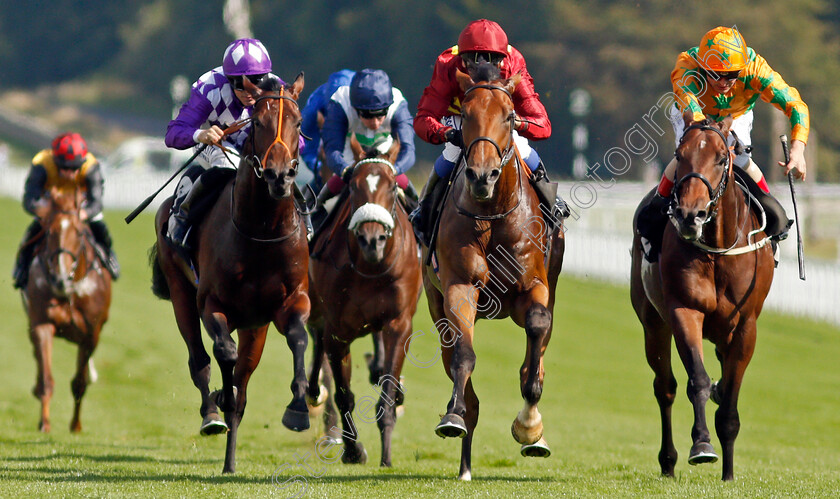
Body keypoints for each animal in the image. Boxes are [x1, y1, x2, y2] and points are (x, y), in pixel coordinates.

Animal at [23, 188, 111, 434]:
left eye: (79, 232)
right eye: (49, 231)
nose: (60, 278)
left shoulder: (91, 334)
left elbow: (79, 383)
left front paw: (76, 425)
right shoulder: (41, 324)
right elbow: (46, 378)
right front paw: (44, 423)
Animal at [149, 75, 310, 476]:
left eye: (299, 122)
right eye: (257, 123)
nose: (279, 175)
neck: (261, 231)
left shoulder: (290, 301)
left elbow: (297, 337)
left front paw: (298, 407)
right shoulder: (212, 303)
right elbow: (224, 352)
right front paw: (221, 399)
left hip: (256, 326)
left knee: (243, 379)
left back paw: (231, 456)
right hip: (180, 293)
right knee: (199, 360)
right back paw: (213, 415)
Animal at [306, 136, 424, 464]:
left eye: (391, 186)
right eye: (353, 187)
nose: (372, 240)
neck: (371, 268)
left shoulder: (399, 322)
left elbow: (386, 390)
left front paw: (387, 453)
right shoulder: (336, 329)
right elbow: (343, 393)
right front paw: (352, 449)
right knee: (316, 343)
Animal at [424, 69, 568, 480]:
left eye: (509, 116)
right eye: (466, 115)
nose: (482, 176)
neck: (492, 213)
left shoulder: (534, 287)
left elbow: (536, 331)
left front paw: (529, 426)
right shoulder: (459, 287)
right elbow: (464, 356)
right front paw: (453, 416)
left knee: (538, 352)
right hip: (435, 303)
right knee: (454, 357)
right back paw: (464, 462)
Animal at [632, 116, 776, 480]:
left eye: (722, 159)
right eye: (678, 156)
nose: (689, 215)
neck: (717, 249)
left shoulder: (746, 326)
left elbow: (729, 399)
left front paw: (728, 472)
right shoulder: (685, 311)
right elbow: (696, 380)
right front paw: (701, 444)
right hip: (653, 323)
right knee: (665, 387)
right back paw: (668, 462)